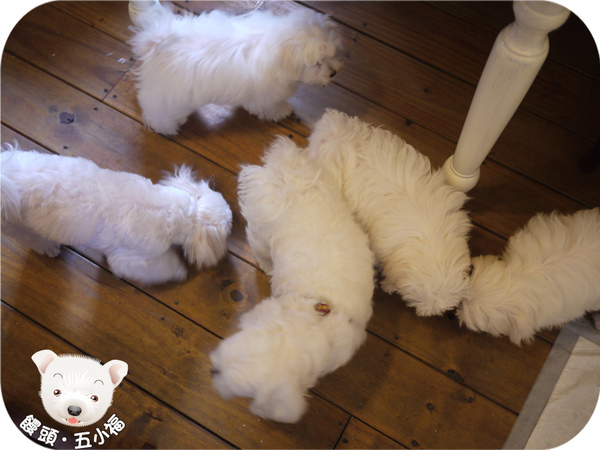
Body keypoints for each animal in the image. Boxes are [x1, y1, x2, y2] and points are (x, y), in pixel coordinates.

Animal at [1, 144, 232, 285]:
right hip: (18, 226)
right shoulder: (128, 258)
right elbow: (156, 267)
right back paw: (49, 248)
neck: (169, 209)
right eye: (229, 229)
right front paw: (179, 271)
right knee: (33, 239)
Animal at [129, 5, 342, 135]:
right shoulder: (265, 97)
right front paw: (284, 110)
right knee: (159, 114)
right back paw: (166, 128)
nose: (333, 73)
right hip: (167, 100)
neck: (272, 42)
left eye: (332, 54)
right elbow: (271, 107)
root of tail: (155, 44)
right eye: (317, 63)